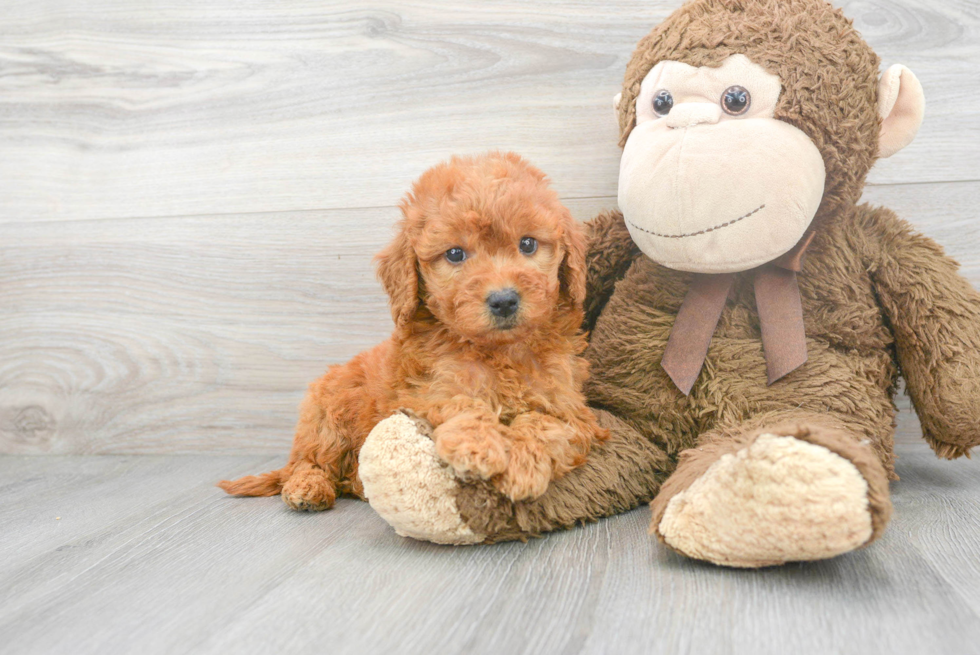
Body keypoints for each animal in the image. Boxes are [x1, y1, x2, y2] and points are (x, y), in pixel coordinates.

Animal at [218, 152, 608, 508]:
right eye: (455, 254)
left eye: (528, 244)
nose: (504, 301)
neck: (500, 351)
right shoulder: (421, 394)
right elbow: (461, 402)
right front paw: (478, 446)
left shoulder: (571, 408)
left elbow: (545, 424)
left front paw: (523, 466)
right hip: (327, 417)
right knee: (309, 461)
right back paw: (307, 488)